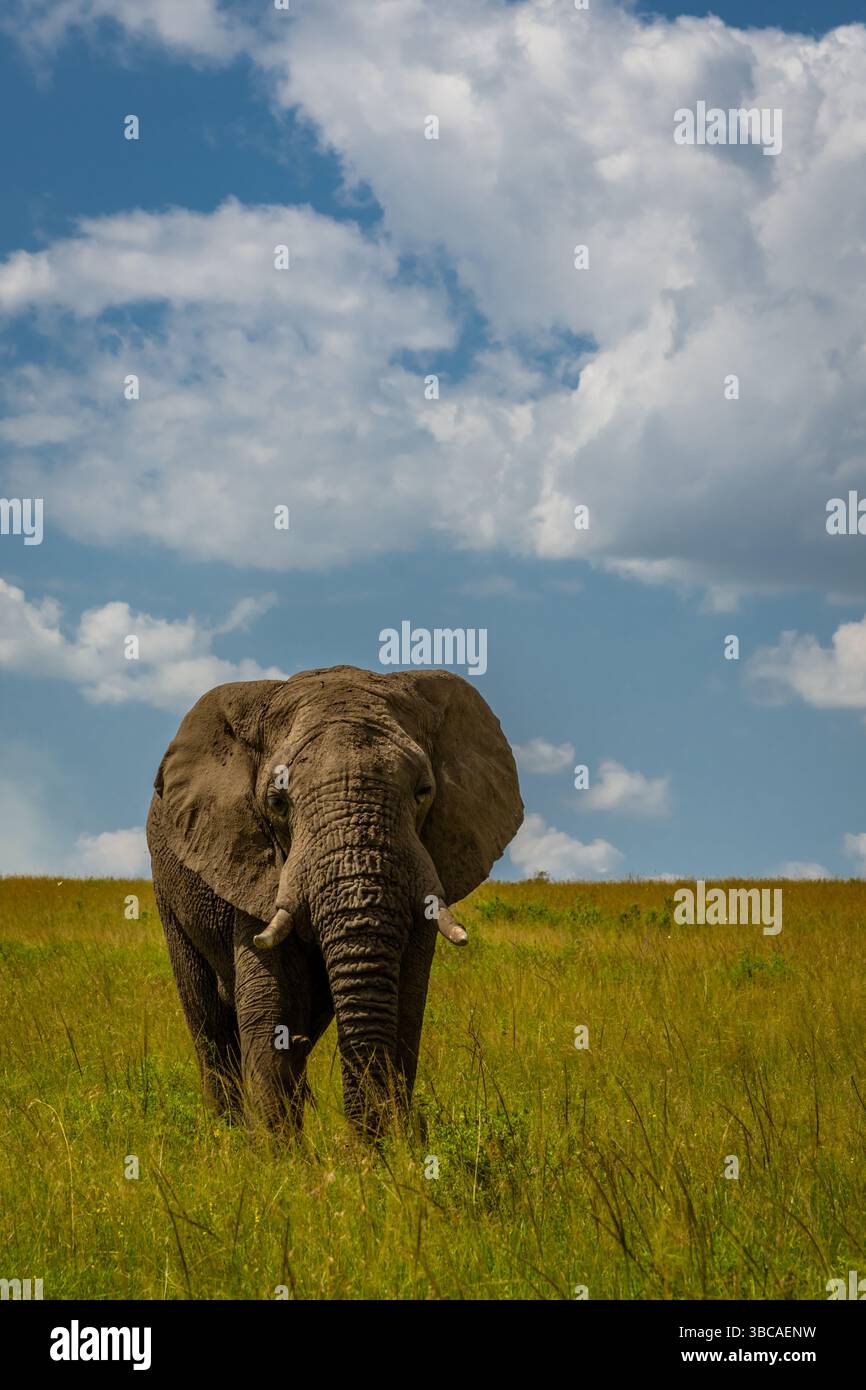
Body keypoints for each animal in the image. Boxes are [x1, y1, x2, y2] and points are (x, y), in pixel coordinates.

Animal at [146, 665, 523, 1138]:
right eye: (277, 801)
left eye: (423, 791)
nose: (360, 1146)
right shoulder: (252, 860)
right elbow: (271, 1003)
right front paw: (274, 1153)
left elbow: (406, 1005)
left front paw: (391, 1150)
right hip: (168, 891)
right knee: (208, 1022)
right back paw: (225, 1136)